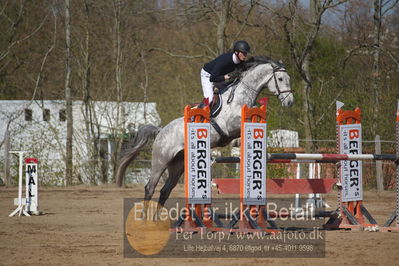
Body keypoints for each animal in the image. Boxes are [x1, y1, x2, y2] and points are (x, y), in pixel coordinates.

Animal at [115, 56, 294, 206]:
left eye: (288, 79)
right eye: (280, 79)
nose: (290, 102)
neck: (240, 96)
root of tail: (160, 131)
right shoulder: (230, 125)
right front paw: (240, 143)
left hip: (177, 164)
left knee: (166, 190)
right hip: (161, 161)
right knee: (150, 188)